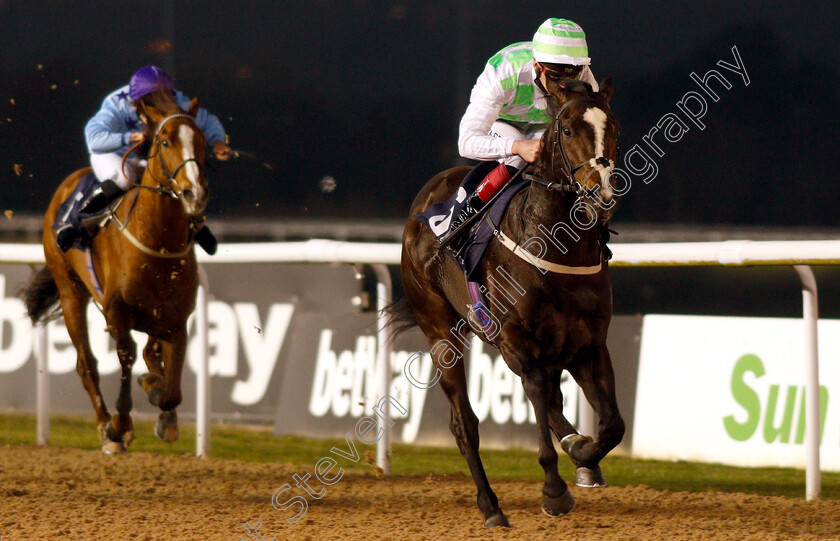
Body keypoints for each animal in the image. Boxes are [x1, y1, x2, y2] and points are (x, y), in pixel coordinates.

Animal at [22, 92, 208, 452]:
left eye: (201, 140)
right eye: (165, 141)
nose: (194, 193)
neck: (157, 243)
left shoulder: (177, 318)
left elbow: (171, 387)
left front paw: (161, 404)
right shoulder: (116, 310)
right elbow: (126, 357)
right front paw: (120, 425)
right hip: (70, 291)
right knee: (86, 365)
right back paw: (106, 426)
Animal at [394, 80, 624, 528]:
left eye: (615, 128)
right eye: (567, 129)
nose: (601, 191)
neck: (556, 245)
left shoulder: (589, 346)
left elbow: (612, 426)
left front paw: (584, 455)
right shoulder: (517, 344)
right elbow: (538, 401)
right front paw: (555, 489)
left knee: (553, 402)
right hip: (439, 331)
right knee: (464, 423)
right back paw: (491, 506)